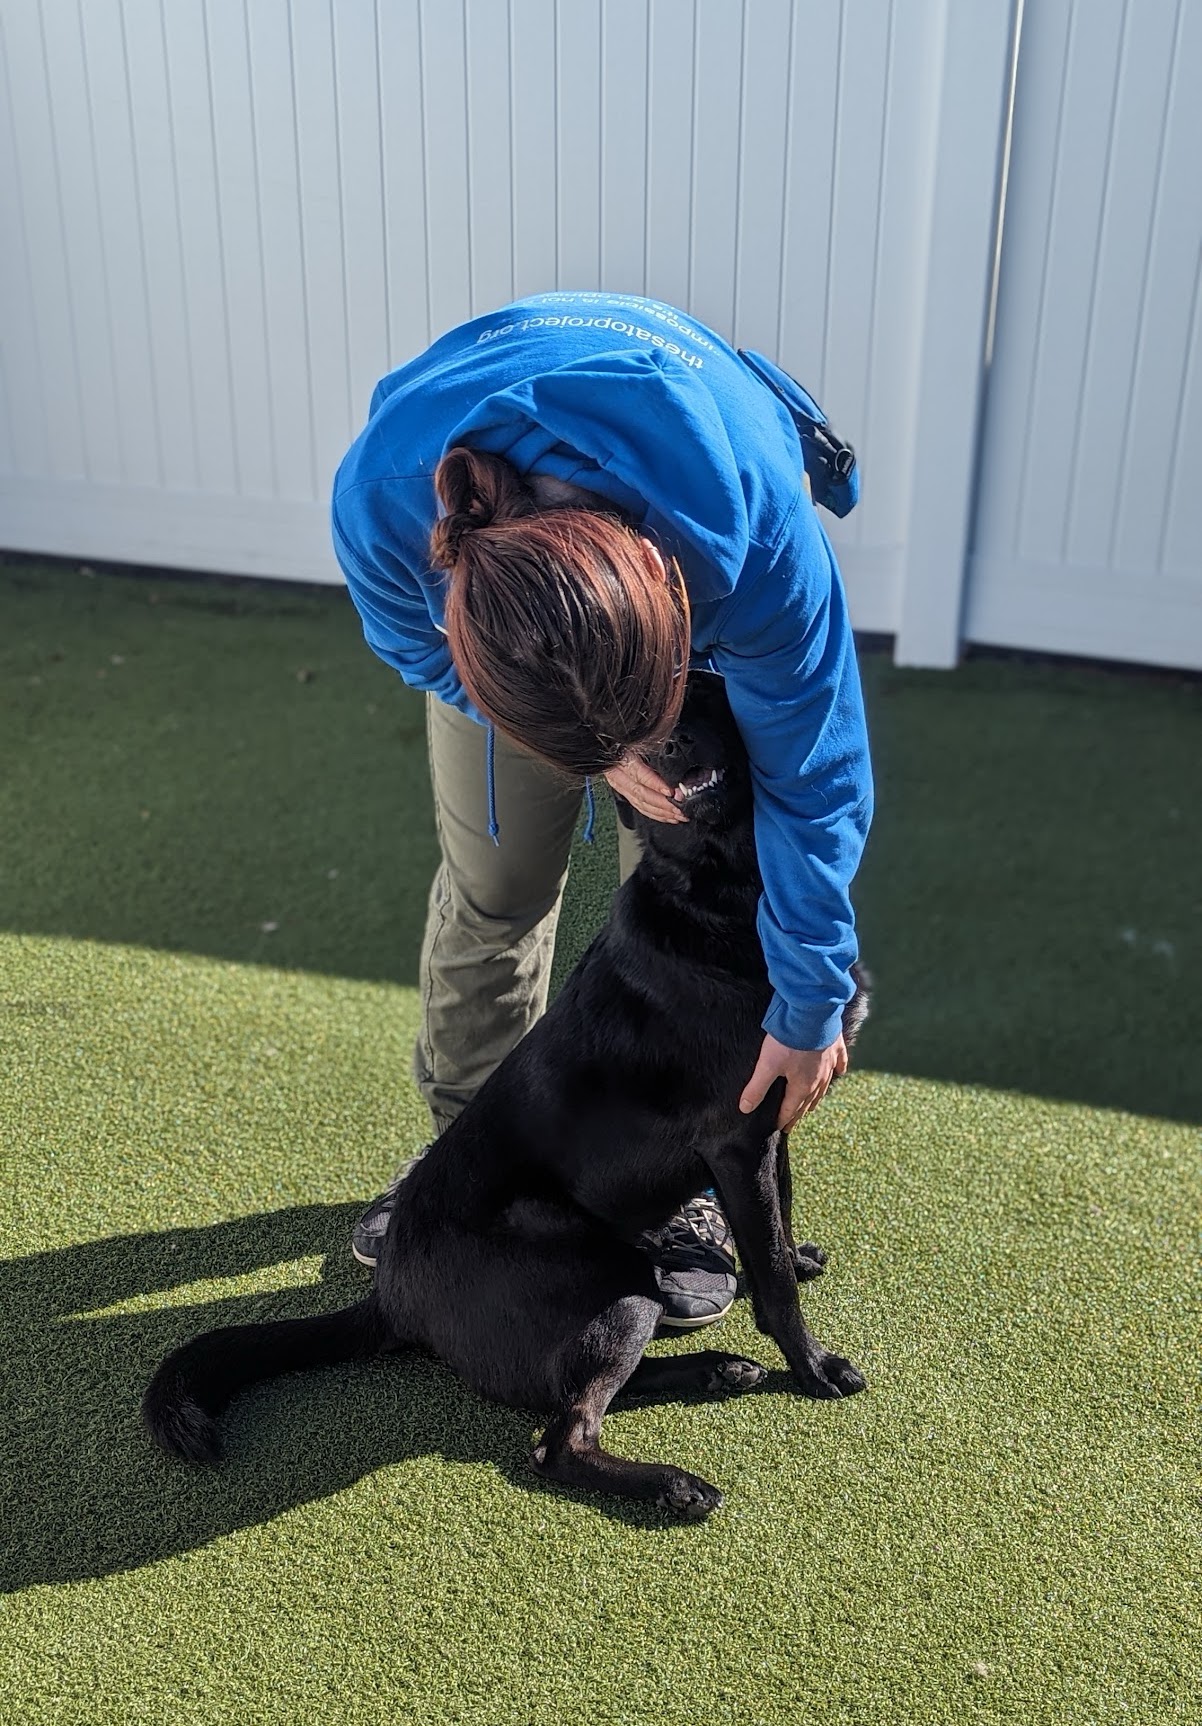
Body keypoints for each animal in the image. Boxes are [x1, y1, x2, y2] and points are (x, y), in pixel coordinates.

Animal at [145, 666, 866, 1518]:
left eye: (702, 688)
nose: (658, 746)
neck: (721, 889)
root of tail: (391, 1295)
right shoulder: (739, 1136)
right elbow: (776, 1285)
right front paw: (813, 1366)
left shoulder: (773, 1124)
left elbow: (778, 1229)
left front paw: (794, 1258)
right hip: (614, 1286)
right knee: (558, 1441)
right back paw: (674, 1482)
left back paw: (717, 1368)